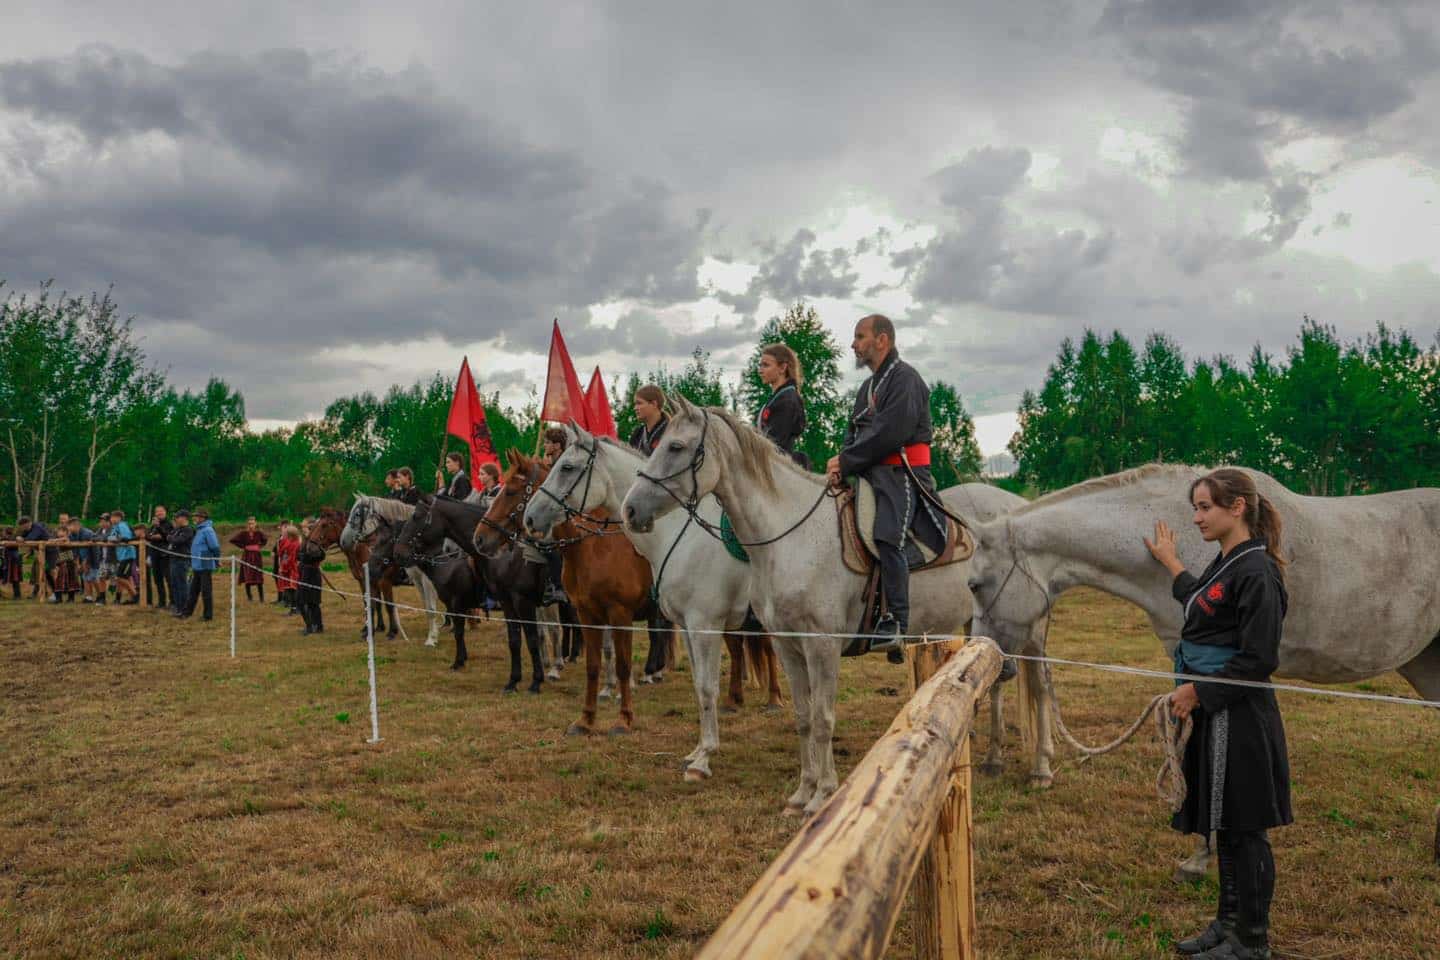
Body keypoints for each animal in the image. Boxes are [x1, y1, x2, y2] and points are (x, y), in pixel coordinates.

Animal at [339, 495, 446, 644]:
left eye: (357, 514)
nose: (343, 541)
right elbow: (372, 603)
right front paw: (370, 631)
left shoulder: (386, 582)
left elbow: (388, 605)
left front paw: (391, 632)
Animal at [478, 454, 659, 742]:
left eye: (510, 492)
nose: (480, 538)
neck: (595, 547)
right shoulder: (587, 613)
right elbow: (592, 665)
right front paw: (586, 720)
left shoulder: (620, 614)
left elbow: (622, 664)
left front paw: (624, 719)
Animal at [524, 423, 760, 782]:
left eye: (566, 467)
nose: (530, 518)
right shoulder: (679, 626)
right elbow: (697, 685)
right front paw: (697, 752)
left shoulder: (700, 625)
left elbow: (704, 686)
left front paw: (703, 759)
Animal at [622, 402, 979, 817]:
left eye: (675, 446)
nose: (630, 509)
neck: (790, 537)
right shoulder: (786, 644)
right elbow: (804, 717)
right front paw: (802, 792)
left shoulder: (818, 645)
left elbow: (822, 719)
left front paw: (823, 795)